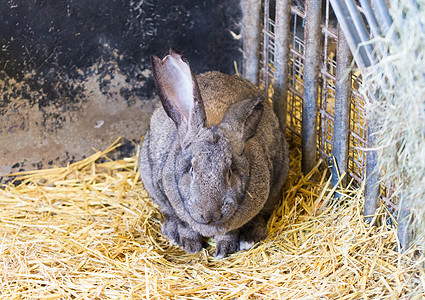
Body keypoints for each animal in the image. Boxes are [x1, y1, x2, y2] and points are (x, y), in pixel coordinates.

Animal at [139, 49, 288, 258]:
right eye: (191, 169)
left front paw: (223, 250)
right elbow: (185, 226)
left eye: (230, 171)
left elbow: (229, 233)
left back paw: (250, 238)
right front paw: (190, 246)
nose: (211, 214)